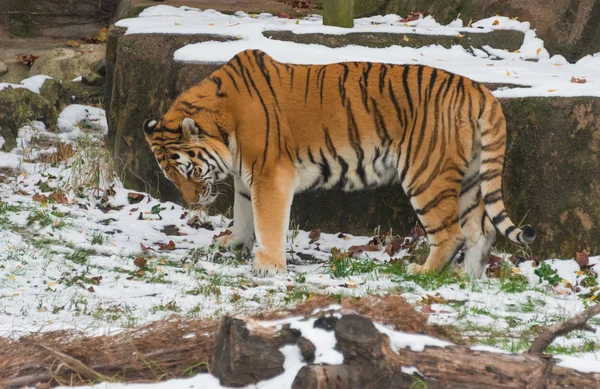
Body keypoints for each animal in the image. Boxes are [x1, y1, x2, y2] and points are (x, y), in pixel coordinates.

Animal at [144, 48, 536, 278]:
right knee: (482, 232)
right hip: (468, 177)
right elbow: (243, 215)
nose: (191, 202)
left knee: (453, 233)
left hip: (427, 175)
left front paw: (267, 267)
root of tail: (480, 90)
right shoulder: (245, 177)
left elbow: (267, 221)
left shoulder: (270, 174)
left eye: (189, 171)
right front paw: (232, 244)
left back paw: (421, 271)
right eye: (171, 177)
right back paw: (465, 278)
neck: (225, 126)